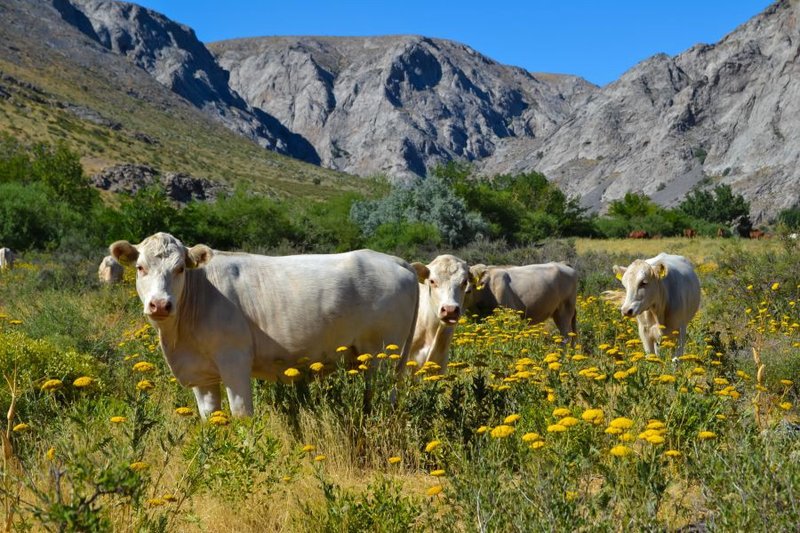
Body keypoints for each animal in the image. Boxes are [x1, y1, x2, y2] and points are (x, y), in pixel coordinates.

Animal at [110, 231, 422, 418]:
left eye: (179, 269)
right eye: (141, 268)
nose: (160, 304)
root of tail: (396, 261)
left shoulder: (234, 360)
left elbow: (241, 415)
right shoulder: (201, 375)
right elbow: (212, 418)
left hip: (382, 355)